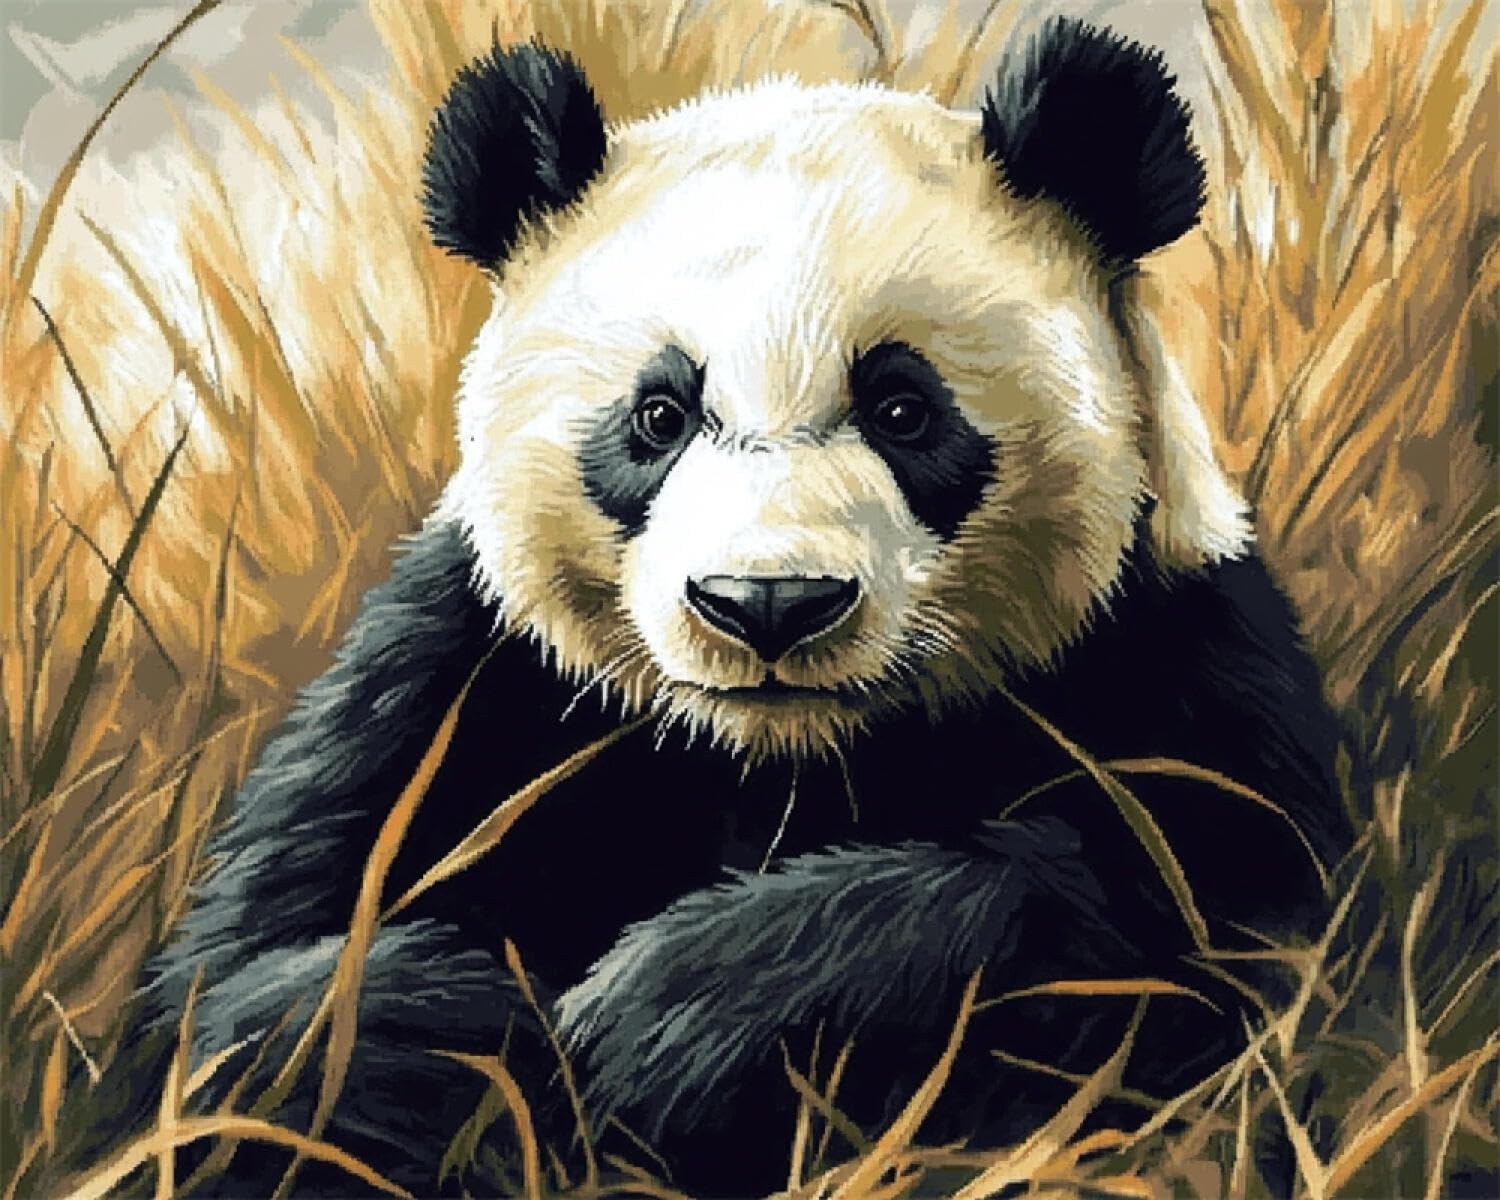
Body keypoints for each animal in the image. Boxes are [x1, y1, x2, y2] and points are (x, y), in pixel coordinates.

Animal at [106, 17, 1348, 1199]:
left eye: (903, 408)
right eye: (658, 416)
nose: (768, 604)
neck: (781, 756)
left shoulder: (1173, 657)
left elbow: (1209, 945)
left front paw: (672, 1021)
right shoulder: (456, 687)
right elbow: (234, 986)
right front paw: (463, 1041)